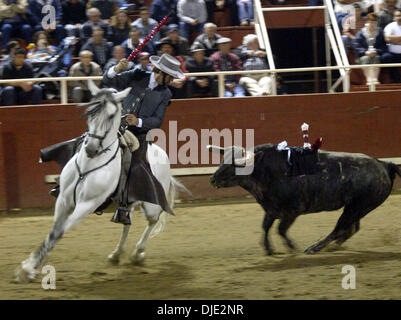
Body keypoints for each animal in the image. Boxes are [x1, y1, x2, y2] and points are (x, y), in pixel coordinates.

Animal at [15, 81, 184, 282]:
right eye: (90, 111)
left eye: (111, 115)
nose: (91, 148)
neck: (89, 165)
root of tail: (162, 153)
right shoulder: (63, 200)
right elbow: (53, 232)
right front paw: (30, 265)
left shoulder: (86, 205)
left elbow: (60, 231)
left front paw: (28, 269)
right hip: (128, 201)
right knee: (127, 222)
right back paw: (116, 254)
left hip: (151, 205)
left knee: (152, 221)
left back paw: (137, 254)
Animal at [209, 144, 400, 255]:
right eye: (223, 159)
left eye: (236, 164)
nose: (212, 178)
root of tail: (383, 164)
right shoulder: (271, 209)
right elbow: (266, 227)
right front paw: (269, 249)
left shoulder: (292, 211)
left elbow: (280, 230)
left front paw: (292, 247)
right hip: (357, 208)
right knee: (351, 228)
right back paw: (335, 245)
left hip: (357, 207)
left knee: (340, 228)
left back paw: (315, 248)